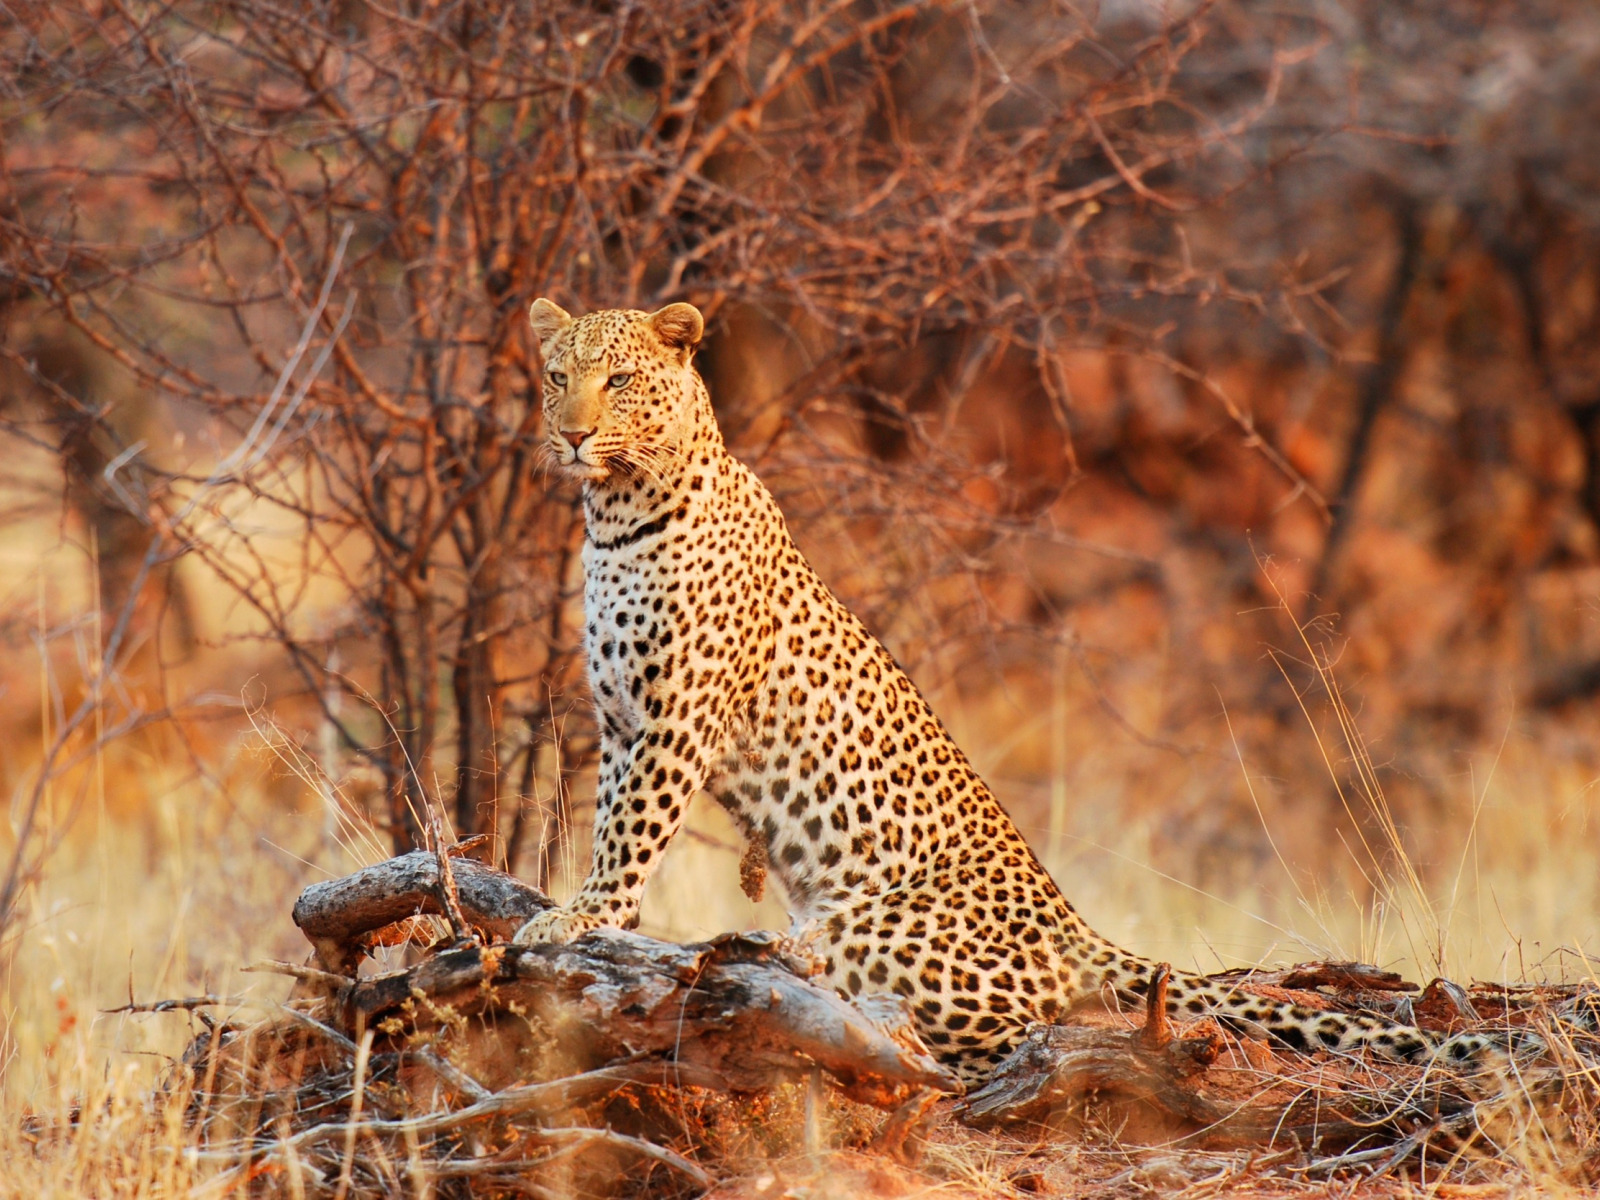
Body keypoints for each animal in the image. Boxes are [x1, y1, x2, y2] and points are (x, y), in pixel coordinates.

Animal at [515, 300, 1510, 1088]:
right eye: (558, 376)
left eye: (620, 380)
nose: (571, 435)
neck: (616, 517)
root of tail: (1073, 927)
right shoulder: (619, 722)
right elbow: (610, 823)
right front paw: (588, 912)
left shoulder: (673, 721)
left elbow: (629, 836)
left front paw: (579, 917)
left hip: (889, 935)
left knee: (1007, 1033)